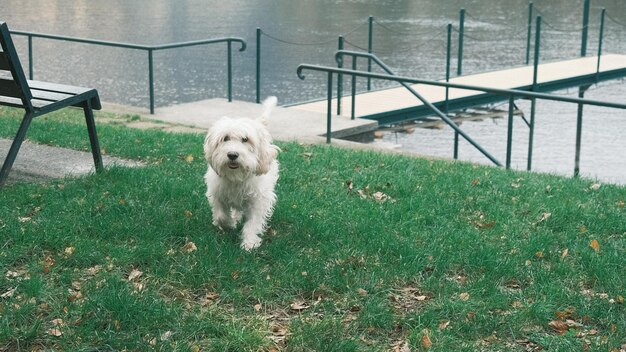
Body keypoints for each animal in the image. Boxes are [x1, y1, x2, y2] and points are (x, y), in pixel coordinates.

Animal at [204, 96, 280, 250]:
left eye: (245, 139)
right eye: (225, 138)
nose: (232, 155)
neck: (236, 178)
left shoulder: (258, 200)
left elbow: (253, 222)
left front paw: (249, 242)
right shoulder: (217, 193)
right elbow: (221, 215)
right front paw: (229, 224)